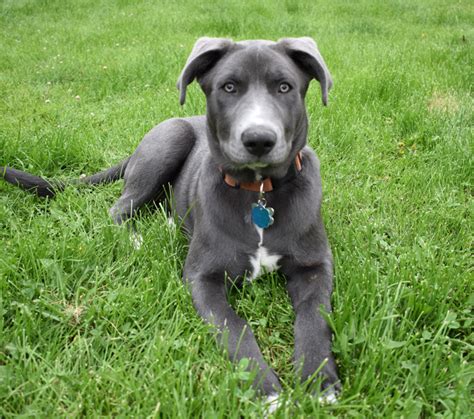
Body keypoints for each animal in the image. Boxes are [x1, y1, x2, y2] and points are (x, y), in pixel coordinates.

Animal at [0, 37, 340, 408]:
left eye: (284, 87)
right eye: (229, 87)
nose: (259, 139)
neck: (259, 192)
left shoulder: (315, 266)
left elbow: (315, 317)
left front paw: (320, 382)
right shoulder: (202, 277)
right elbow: (234, 327)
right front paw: (266, 390)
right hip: (169, 141)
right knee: (120, 208)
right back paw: (136, 239)